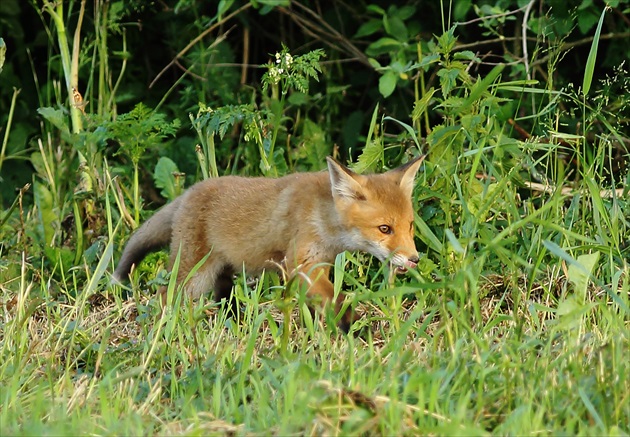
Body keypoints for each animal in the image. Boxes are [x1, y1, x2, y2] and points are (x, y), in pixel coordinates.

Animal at [116, 155, 428, 328]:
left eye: (410, 226)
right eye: (385, 229)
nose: (414, 259)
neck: (322, 216)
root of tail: (188, 192)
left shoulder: (318, 265)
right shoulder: (301, 263)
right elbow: (337, 299)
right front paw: (354, 327)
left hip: (222, 274)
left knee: (223, 300)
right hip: (194, 277)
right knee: (163, 297)